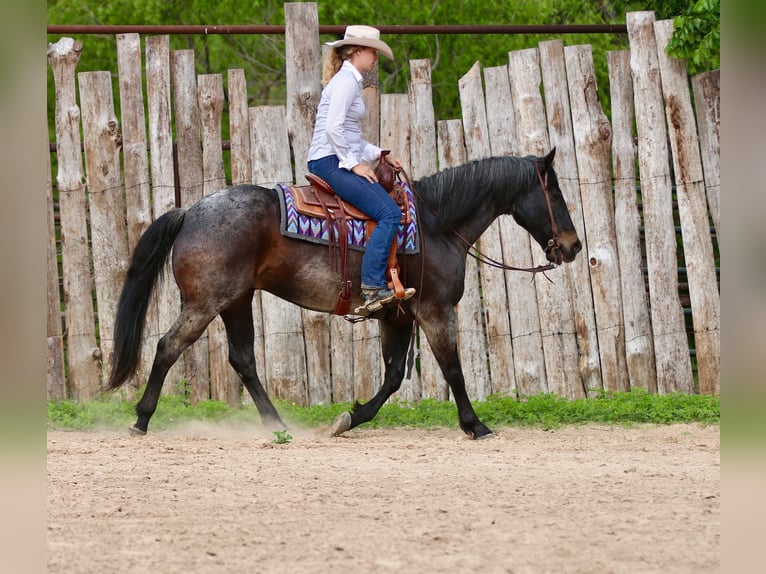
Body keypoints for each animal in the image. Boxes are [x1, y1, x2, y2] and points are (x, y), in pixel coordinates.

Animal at [107, 147, 581, 439]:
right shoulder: (435, 310)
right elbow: (453, 370)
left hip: (236, 302)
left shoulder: (398, 316)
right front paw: (475, 425)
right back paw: (142, 420)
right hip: (205, 303)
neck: (436, 224)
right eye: (555, 193)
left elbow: (393, 378)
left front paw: (350, 418)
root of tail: (190, 211)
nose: (574, 245)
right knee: (168, 347)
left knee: (242, 360)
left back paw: (277, 424)